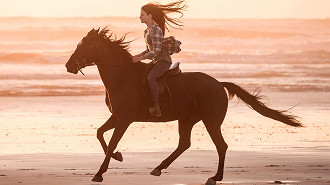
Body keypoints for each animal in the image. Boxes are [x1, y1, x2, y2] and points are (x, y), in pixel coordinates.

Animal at [65, 27, 302, 185]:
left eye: (84, 46)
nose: (68, 66)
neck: (122, 76)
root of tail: (218, 83)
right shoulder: (117, 116)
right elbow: (100, 134)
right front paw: (118, 157)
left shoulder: (125, 119)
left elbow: (111, 141)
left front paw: (99, 173)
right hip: (187, 119)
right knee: (184, 144)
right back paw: (159, 168)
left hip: (211, 121)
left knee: (221, 146)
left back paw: (215, 177)